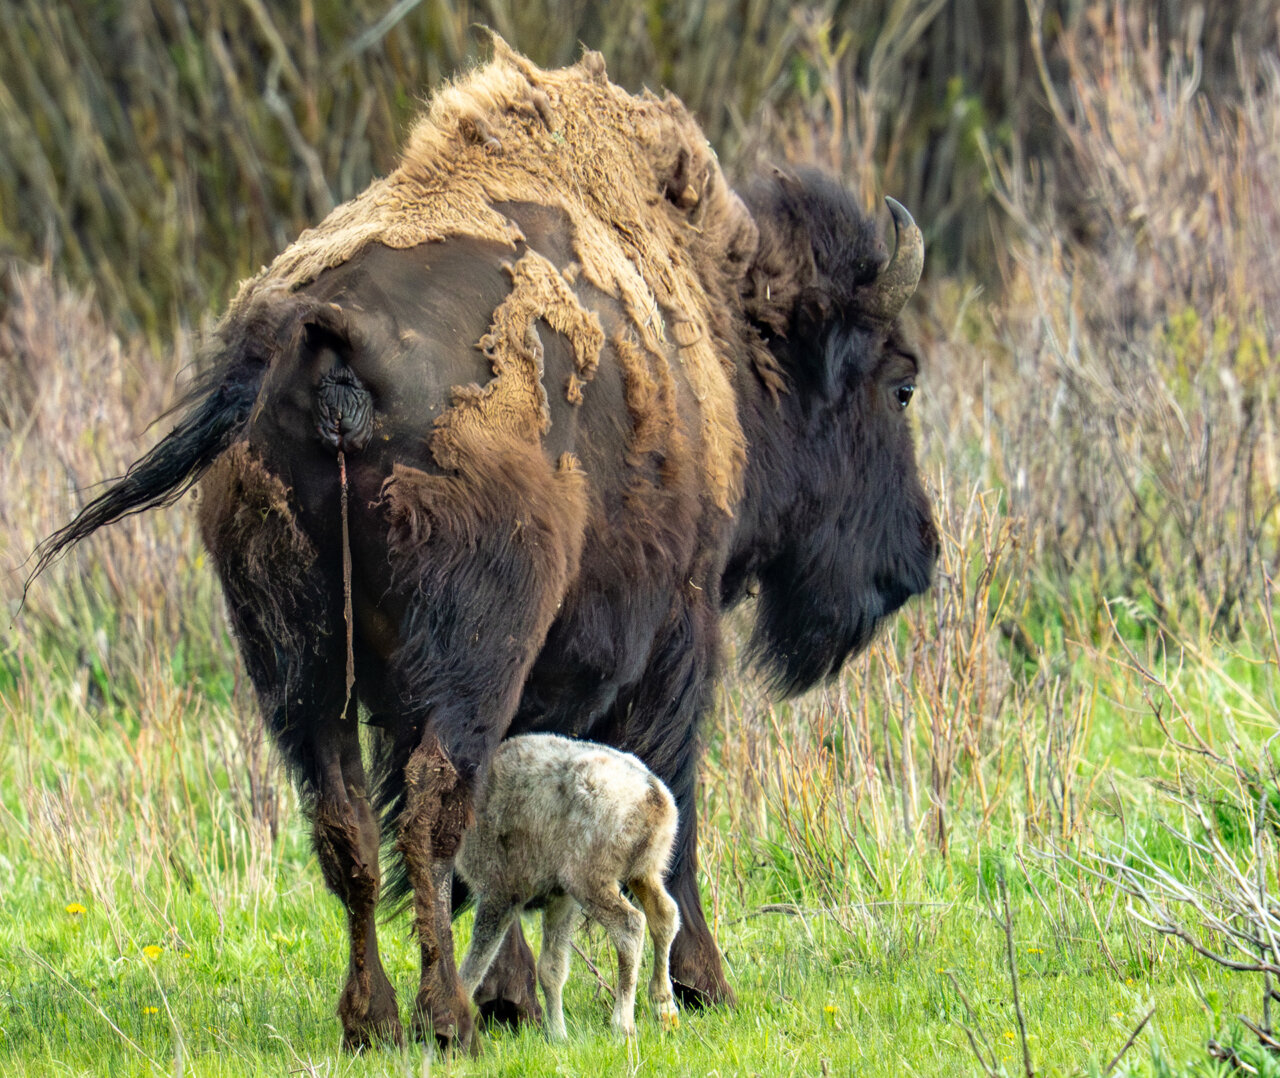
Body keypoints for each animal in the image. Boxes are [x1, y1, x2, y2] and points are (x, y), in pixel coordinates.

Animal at [31, 39, 938, 1053]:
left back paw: (378, 1021)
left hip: (299, 663)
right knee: (434, 806)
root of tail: (324, 334)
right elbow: (673, 805)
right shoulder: (675, 638)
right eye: (900, 385)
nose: (919, 556)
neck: (722, 328)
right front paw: (698, 985)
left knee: (345, 822)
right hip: (468, 652)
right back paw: (451, 1017)